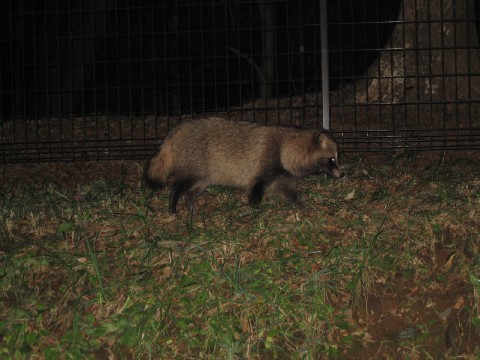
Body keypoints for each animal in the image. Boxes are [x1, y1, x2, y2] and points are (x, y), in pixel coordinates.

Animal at [144, 117, 344, 214]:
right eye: (332, 159)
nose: (341, 175)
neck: (285, 146)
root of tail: (176, 132)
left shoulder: (281, 176)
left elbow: (290, 193)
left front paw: (302, 205)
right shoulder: (264, 167)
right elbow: (254, 192)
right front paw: (255, 213)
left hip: (204, 177)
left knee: (191, 192)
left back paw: (190, 205)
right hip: (194, 168)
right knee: (179, 186)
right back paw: (173, 202)